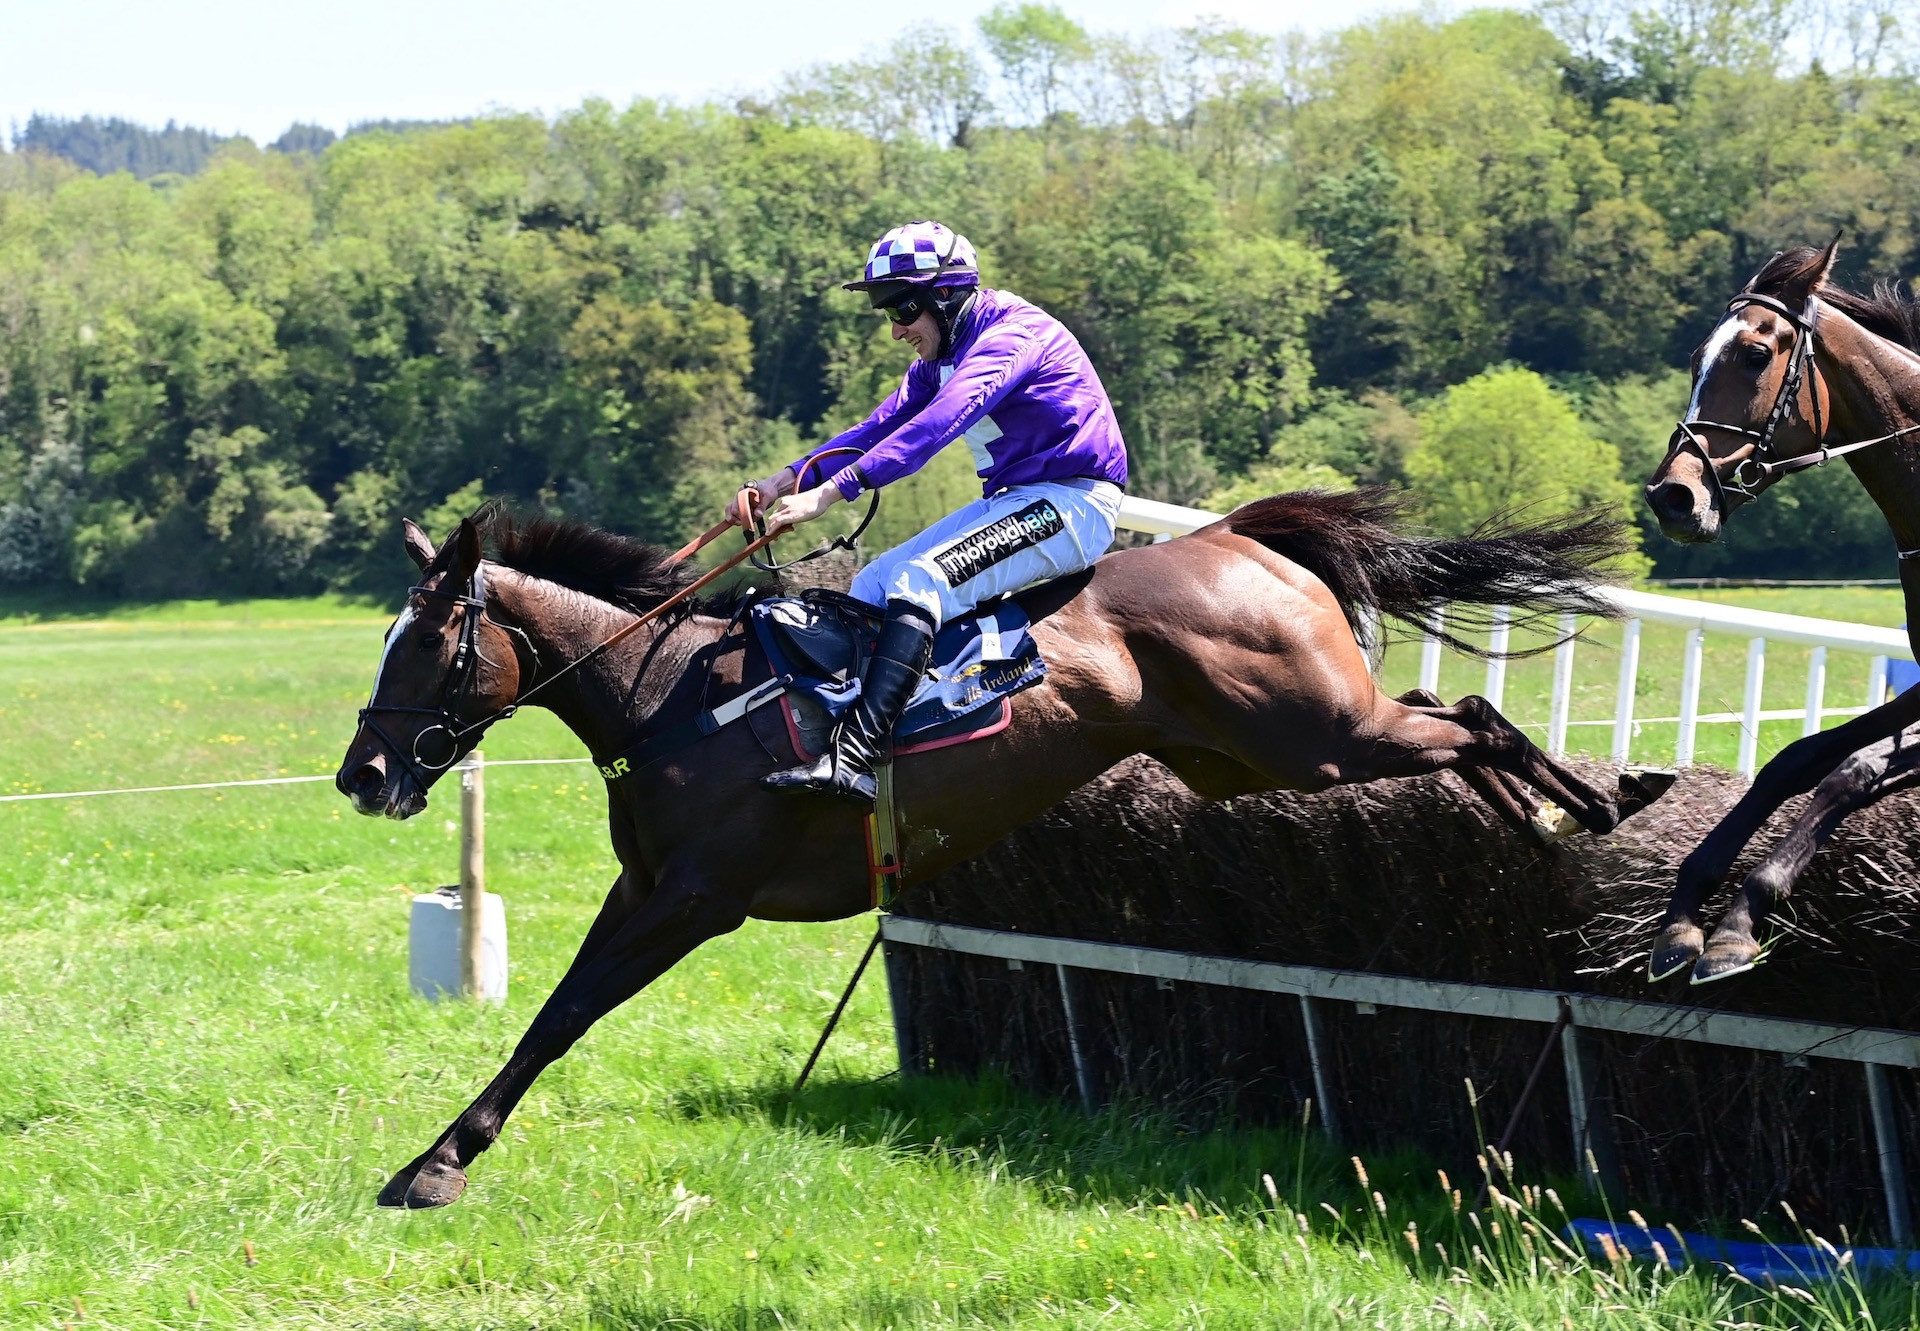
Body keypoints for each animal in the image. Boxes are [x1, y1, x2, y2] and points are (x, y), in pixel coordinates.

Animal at [341, 491, 1666, 1206]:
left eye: (428, 645)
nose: (362, 773)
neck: (670, 691)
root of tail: (1243, 538)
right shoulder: (647, 884)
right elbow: (552, 1011)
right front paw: (438, 1152)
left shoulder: (701, 895)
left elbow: (567, 1012)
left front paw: (439, 1163)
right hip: (1258, 755)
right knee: (1451, 719)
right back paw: (1561, 812)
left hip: (1311, 733)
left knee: (1471, 714)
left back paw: (1603, 803)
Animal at [1643, 239, 1920, 979]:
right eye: (1694, 358)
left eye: (1755, 355)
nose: (1673, 496)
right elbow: (1808, 760)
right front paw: (1687, 915)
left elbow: (1838, 767)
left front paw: (1740, 918)